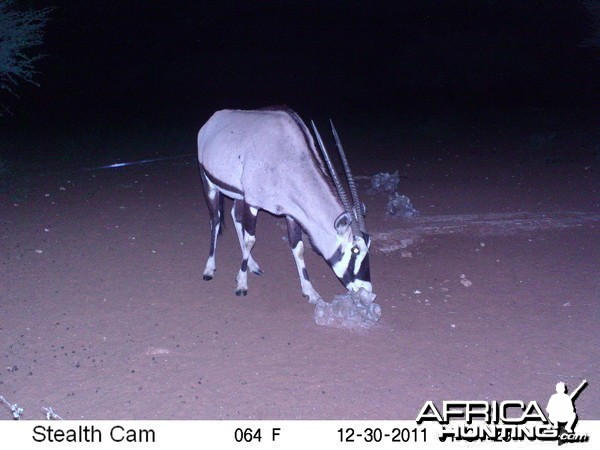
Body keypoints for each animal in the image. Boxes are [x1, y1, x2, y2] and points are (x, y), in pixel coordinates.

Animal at [198, 107, 370, 304]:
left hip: (238, 194)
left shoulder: (291, 212)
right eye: (355, 249)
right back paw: (209, 268)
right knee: (215, 221)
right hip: (210, 184)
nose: (367, 292)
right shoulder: (253, 203)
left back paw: (252, 265)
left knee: (236, 216)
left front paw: (310, 292)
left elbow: (298, 248)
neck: (287, 155)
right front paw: (241, 284)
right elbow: (250, 241)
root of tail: (212, 120)